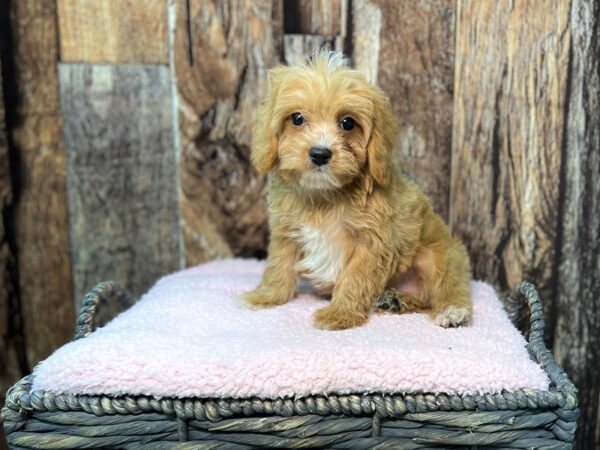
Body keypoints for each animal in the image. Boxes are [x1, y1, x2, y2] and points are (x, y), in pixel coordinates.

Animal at [241, 51, 472, 330]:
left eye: (347, 123)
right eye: (297, 118)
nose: (320, 154)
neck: (325, 195)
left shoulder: (373, 242)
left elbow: (355, 278)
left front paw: (340, 314)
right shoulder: (287, 232)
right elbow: (278, 266)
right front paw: (265, 296)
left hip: (439, 254)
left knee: (447, 285)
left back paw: (452, 311)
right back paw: (395, 301)